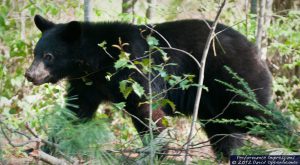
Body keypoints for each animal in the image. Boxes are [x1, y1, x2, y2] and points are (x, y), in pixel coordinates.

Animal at [25, 14, 272, 158]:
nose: (30, 75)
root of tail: (255, 50)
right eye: (36, 53)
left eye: (48, 56)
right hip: (212, 105)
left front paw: (158, 152)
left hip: (233, 78)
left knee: (255, 113)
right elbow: (74, 112)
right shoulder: (88, 85)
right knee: (224, 132)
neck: (99, 61)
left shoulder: (134, 68)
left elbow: (147, 109)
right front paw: (47, 147)